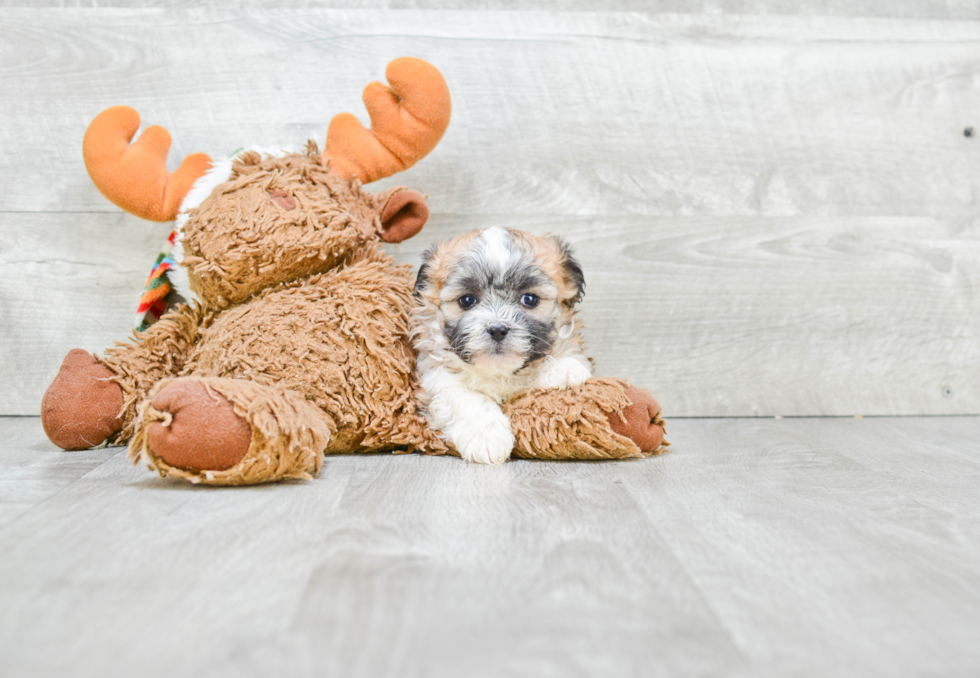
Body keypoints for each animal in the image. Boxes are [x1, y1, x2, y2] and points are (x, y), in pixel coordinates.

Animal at [412, 228, 588, 468]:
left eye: (529, 299)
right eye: (467, 300)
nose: (497, 329)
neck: (499, 372)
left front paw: (564, 368)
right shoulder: (437, 378)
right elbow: (467, 398)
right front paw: (487, 437)